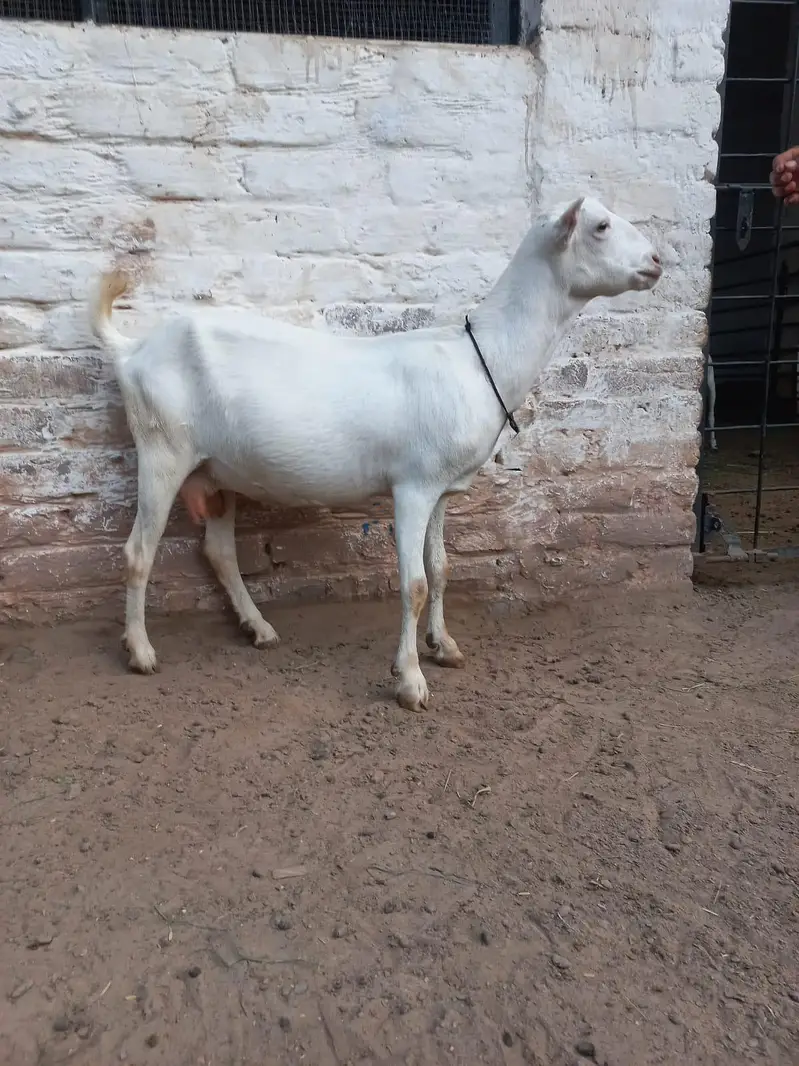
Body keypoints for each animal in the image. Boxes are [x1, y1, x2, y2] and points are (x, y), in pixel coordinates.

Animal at [89, 197, 662, 712]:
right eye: (601, 225)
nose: (658, 260)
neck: (480, 358)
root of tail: (131, 350)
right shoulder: (412, 486)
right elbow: (414, 584)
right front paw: (410, 681)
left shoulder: (441, 489)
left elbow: (441, 567)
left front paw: (443, 646)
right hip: (162, 449)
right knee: (138, 552)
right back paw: (141, 651)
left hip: (217, 469)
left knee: (219, 552)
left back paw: (259, 628)